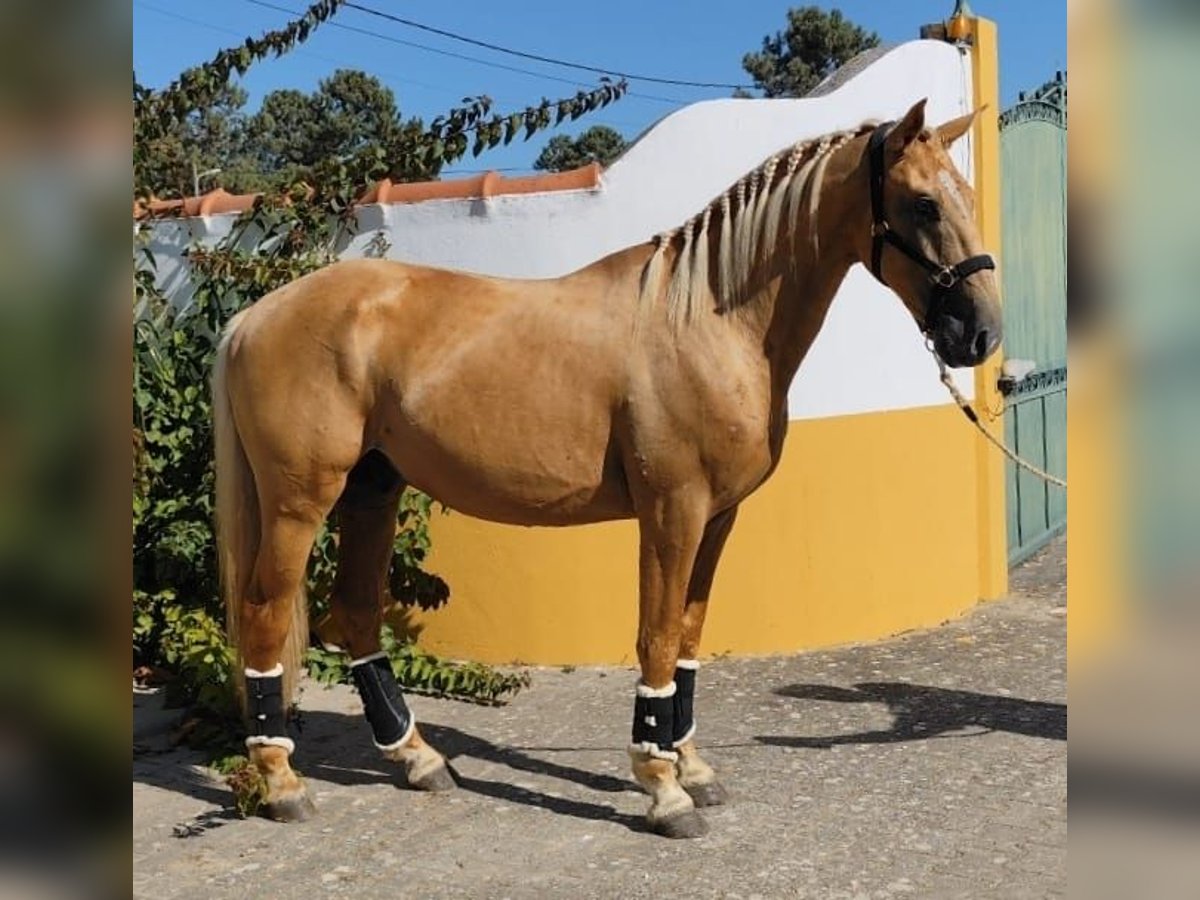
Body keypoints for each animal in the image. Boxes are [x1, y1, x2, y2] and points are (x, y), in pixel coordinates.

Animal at [213, 98, 1003, 840]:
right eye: (923, 203)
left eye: (965, 193)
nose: (980, 335)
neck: (707, 320)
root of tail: (255, 316)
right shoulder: (672, 510)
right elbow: (655, 638)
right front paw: (662, 788)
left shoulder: (718, 516)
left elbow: (688, 636)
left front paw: (692, 766)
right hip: (299, 503)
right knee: (263, 612)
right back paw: (282, 781)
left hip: (373, 490)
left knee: (355, 614)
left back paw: (417, 758)